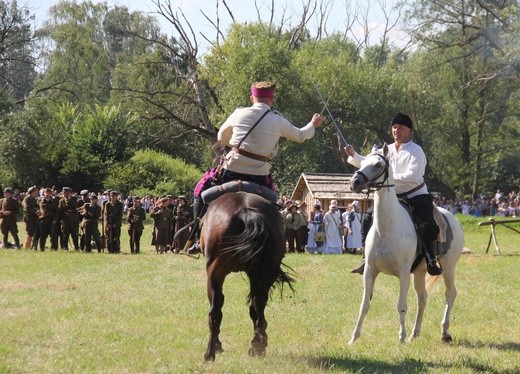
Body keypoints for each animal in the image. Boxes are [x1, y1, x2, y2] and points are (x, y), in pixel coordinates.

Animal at [201, 191, 294, 360]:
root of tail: (244, 211)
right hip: (262, 274)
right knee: (257, 307)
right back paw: (258, 345)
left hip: (215, 275)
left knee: (215, 311)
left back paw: (211, 352)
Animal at [348, 145, 466, 344]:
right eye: (362, 162)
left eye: (378, 164)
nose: (355, 182)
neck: (387, 228)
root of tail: (452, 218)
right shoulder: (370, 271)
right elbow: (364, 305)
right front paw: (353, 338)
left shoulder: (403, 273)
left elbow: (401, 305)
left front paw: (401, 337)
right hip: (419, 272)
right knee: (422, 298)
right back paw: (415, 332)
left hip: (448, 267)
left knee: (450, 294)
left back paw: (444, 332)